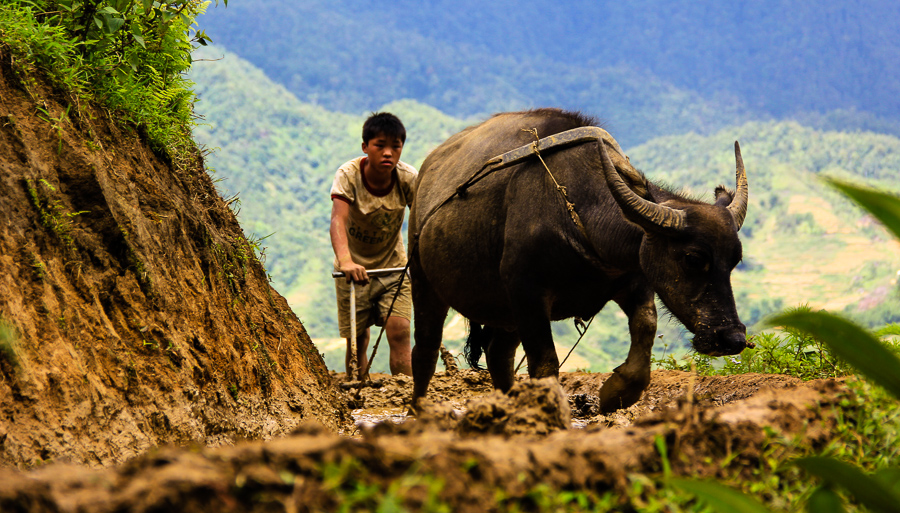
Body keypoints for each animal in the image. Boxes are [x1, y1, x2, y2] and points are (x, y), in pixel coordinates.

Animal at [412, 109, 748, 412]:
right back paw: (420, 409)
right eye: (693, 258)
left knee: (498, 356)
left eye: (735, 261)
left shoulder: (636, 282)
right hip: (424, 282)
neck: (576, 212)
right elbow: (545, 362)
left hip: (505, 312)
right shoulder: (527, 294)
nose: (732, 338)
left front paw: (616, 393)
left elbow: (646, 327)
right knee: (425, 348)